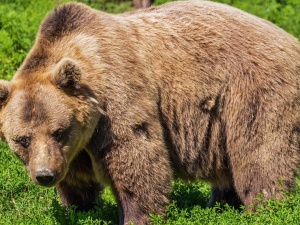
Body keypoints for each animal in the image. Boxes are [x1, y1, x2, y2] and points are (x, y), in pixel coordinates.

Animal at [0, 0, 300, 224]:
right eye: (22, 139)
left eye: (59, 131)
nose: (44, 175)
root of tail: (291, 40)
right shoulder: (76, 148)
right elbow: (77, 181)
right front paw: (78, 208)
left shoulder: (118, 97)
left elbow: (137, 157)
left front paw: (136, 216)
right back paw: (220, 205)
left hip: (253, 93)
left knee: (261, 156)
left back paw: (265, 208)